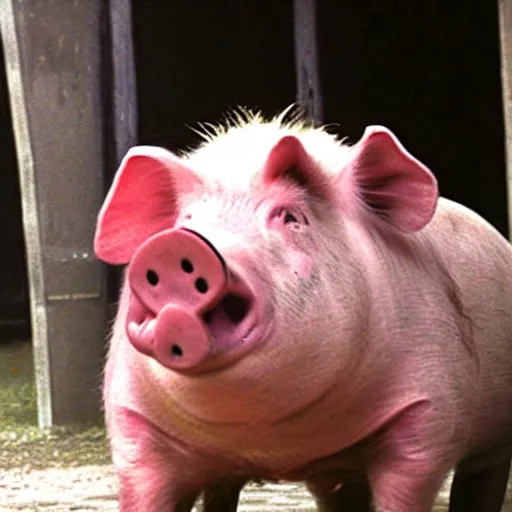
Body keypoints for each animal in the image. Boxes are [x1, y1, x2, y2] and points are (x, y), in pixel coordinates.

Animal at [94, 107, 512, 508]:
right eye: (187, 220)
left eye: (290, 217)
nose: (175, 244)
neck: (275, 441)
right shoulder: (132, 422)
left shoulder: (428, 411)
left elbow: (411, 479)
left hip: (493, 441)